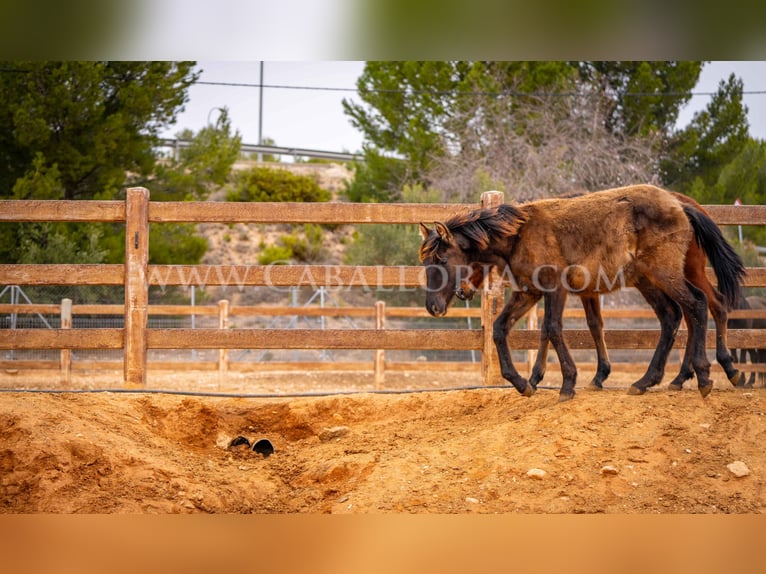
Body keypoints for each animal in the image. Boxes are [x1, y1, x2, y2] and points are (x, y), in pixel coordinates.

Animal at [424, 187, 740, 402]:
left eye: (442, 260)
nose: (433, 307)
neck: (520, 234)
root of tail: (680, 205)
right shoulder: (530, 292)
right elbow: (501, 329)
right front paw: (522, 382)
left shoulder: (555, 289)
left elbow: (552, 329)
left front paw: (567, 382)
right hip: (649, 280)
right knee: (674, 316)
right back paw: (649, 380)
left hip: (666, 274)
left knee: (698, 306)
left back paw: (706, 374)